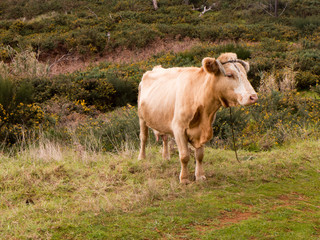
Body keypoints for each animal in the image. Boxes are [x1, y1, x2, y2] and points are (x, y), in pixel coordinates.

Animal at [138, 52, 258, 184]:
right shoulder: (179, 129)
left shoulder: (202, 129)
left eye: (245, 74)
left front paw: (200, 176)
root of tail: (155, 69)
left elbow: (200, 155)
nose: (253, 97)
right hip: (141, 118)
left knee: (164, 138)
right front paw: (184, 179)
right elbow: (184, 156)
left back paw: (166, 157)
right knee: (143, 138)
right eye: (230, 75)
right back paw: (141, 157)